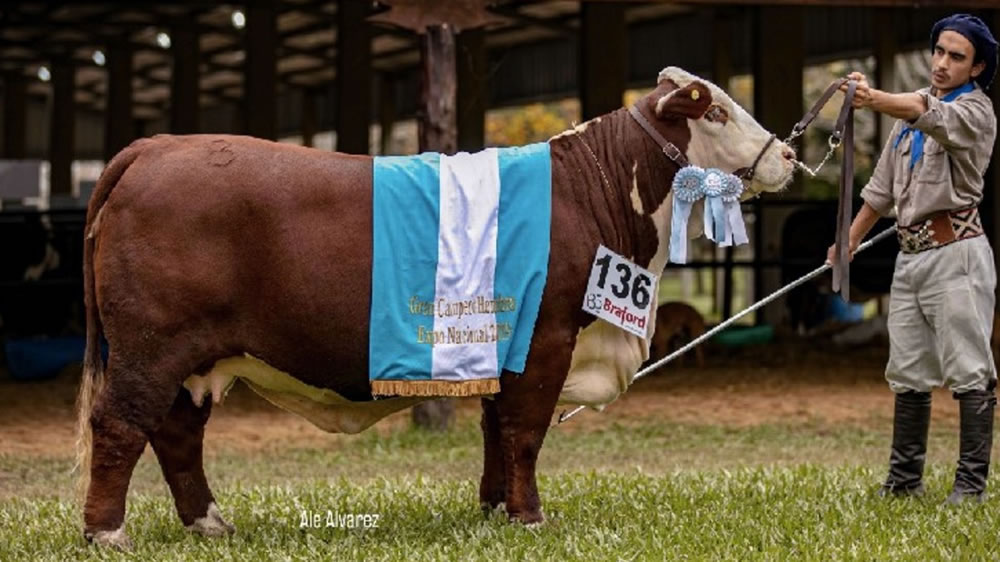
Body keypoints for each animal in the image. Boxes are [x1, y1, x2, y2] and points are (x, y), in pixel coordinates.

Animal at [76, 66, 796, 548]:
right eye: (715, 112)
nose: (788, 152)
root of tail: (159, 145)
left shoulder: (502, 348)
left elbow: (496, 429)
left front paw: (495, 508)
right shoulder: (546, 338)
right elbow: (525, 431)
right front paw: (530, 517)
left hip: (192, 356)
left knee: (176, 433)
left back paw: (209, 522)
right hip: (152, 346)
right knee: (119, 425)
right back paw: (107, 534)